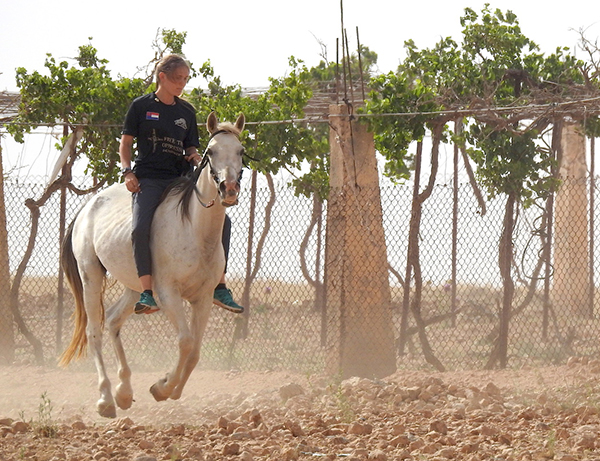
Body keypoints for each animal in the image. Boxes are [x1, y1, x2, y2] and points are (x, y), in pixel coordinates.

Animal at [59, 111, 246, 416]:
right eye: (210, 151)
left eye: (241, 151)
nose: (228, 188)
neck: (193, 229)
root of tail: (86, 208)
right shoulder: (168, 294)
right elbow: (185, 342)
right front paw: (163, 387)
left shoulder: (203, 298)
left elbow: (195, 351)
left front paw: (170, 388)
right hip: (91, 276)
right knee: (94, 330)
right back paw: (105, 399)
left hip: (134, 287)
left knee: (113, 320)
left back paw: (124, 392)